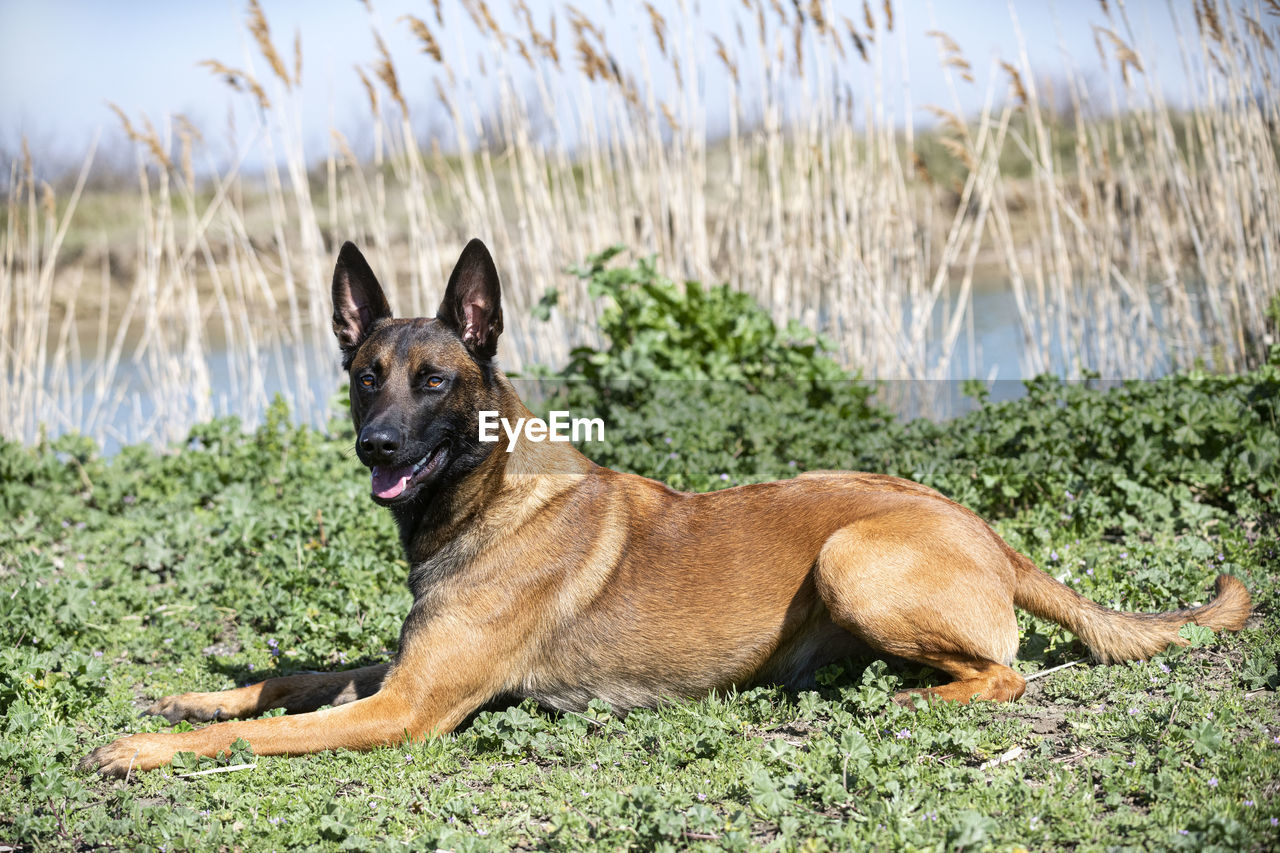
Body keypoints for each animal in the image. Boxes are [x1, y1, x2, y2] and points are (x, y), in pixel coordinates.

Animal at [85, 235, 1254, 773]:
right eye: (366, 375)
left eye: (435, 381)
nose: (375, 445)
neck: (487, 499)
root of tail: (988, 531)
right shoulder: (394, 669)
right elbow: (291, 677)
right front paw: (195, 697)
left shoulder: (405, 708)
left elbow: (267, 732)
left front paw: (142, 749)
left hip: (852, 557)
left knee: (1002, 675)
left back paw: (898, 700)